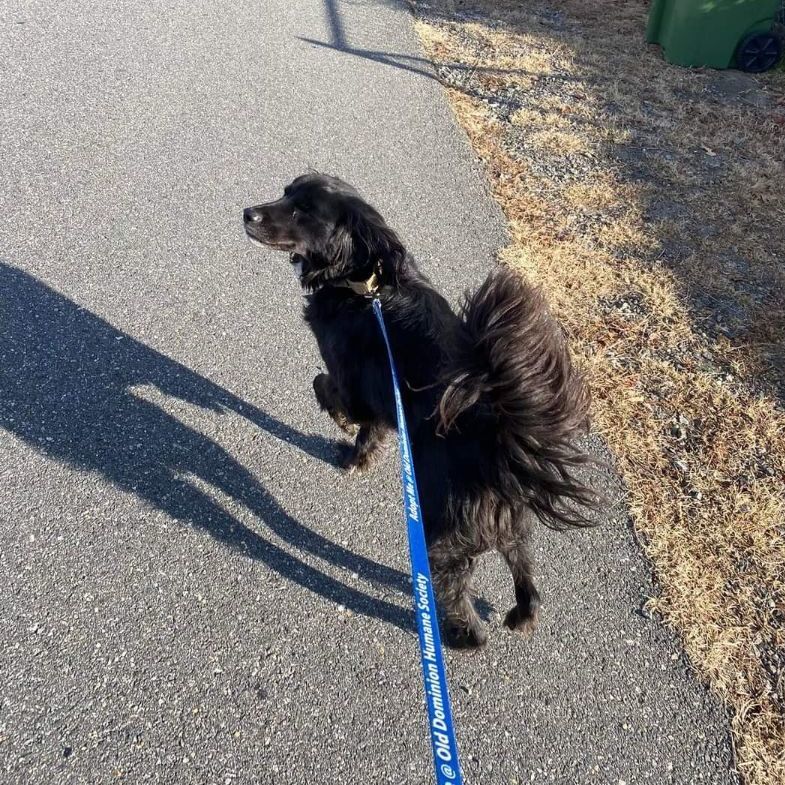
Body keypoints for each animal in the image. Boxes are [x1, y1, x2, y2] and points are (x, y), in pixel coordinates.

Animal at [242, 175, 596, 648]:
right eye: (286, 194)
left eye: (304, 211)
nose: (248, 213)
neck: (364, 283)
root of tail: (496, 444)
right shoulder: (380, 394)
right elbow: (370, 431)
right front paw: (358, 456)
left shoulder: (351, 378)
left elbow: (327, 389)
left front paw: (342, 432)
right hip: (511, 527)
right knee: (526, 576)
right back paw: (521, 617)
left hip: (441, 536)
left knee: (458, 596)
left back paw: (454, 635)